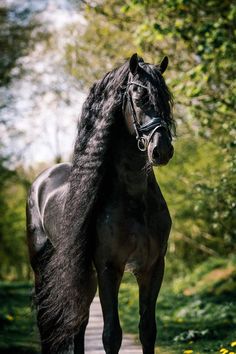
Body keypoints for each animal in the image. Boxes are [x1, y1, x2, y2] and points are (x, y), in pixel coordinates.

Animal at [26, 53, 175, 354]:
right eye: (139, 96)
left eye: (166, 98)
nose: (161, 150)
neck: (135, 198)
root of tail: (41, 180)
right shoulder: (109, 268)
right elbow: (111, 335)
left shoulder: (152, 266)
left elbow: (147, 330)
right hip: (43, 268)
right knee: (49, 320)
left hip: (84, 274)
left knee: (79, 321)